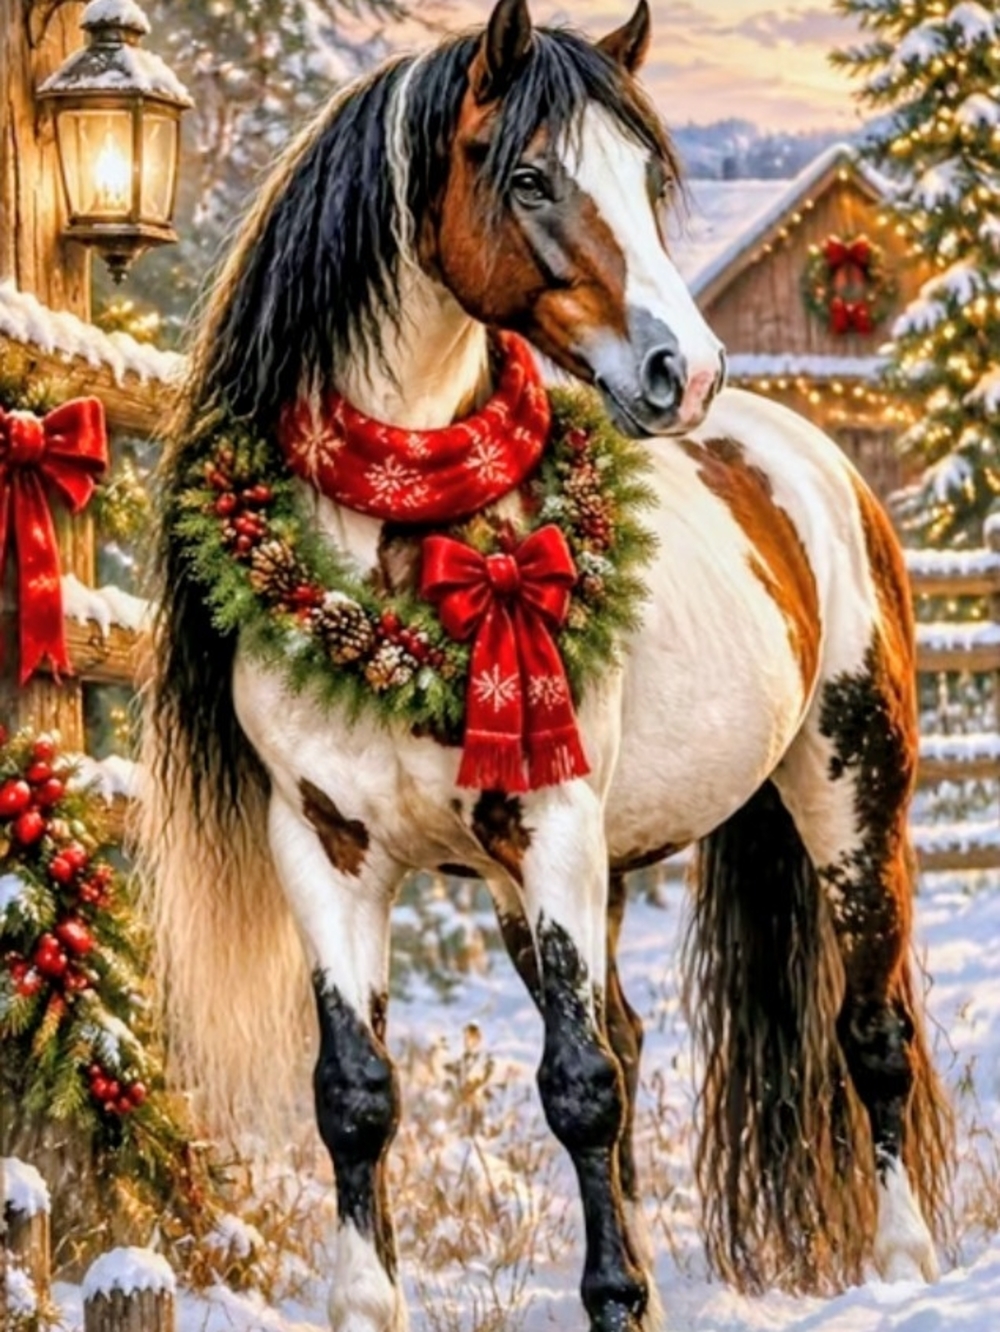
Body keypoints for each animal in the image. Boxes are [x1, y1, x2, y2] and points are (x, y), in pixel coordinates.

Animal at [142, 2, 954, 1329]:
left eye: (646, 180)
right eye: (528, 177)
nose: (685, 371)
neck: (402, 557)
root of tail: (811, 463)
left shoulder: (553, 830)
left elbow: (579, 1086)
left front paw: (614, 1297)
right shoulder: (328, 848)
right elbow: (356, 1094)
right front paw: (368, 1301)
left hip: (849, 800)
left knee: (867, 1036)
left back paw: (901, 1262)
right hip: (561, 879)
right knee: (629, 1031)